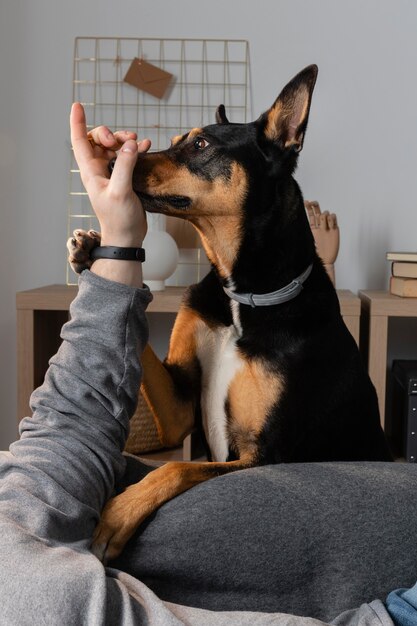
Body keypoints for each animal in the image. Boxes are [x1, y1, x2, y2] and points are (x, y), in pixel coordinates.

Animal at [67, 64, 390, 560]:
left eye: (201, 145)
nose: (112, 160)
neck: (245, 296)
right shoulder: (180, 405)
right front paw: (89, 251)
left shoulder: (263, 454)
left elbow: (177, 468)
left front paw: (120, 511)